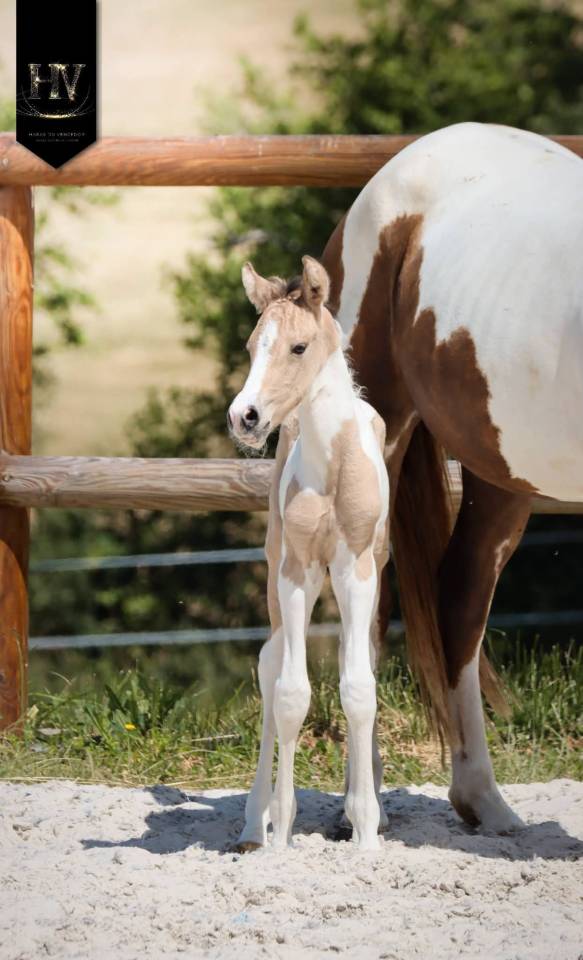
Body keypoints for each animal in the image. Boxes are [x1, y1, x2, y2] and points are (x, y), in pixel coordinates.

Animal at [228, 256, 390, 850]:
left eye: (298, 347)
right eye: (252, 345)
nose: (245, 417)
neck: (332, 466)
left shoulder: (356, 570)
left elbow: (359, 688)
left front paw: (366, 831)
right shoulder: (296, 572)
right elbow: (291, 693)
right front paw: (280, 833)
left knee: (356, 658)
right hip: (279, 570)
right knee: (270, 664)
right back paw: (255, 822)